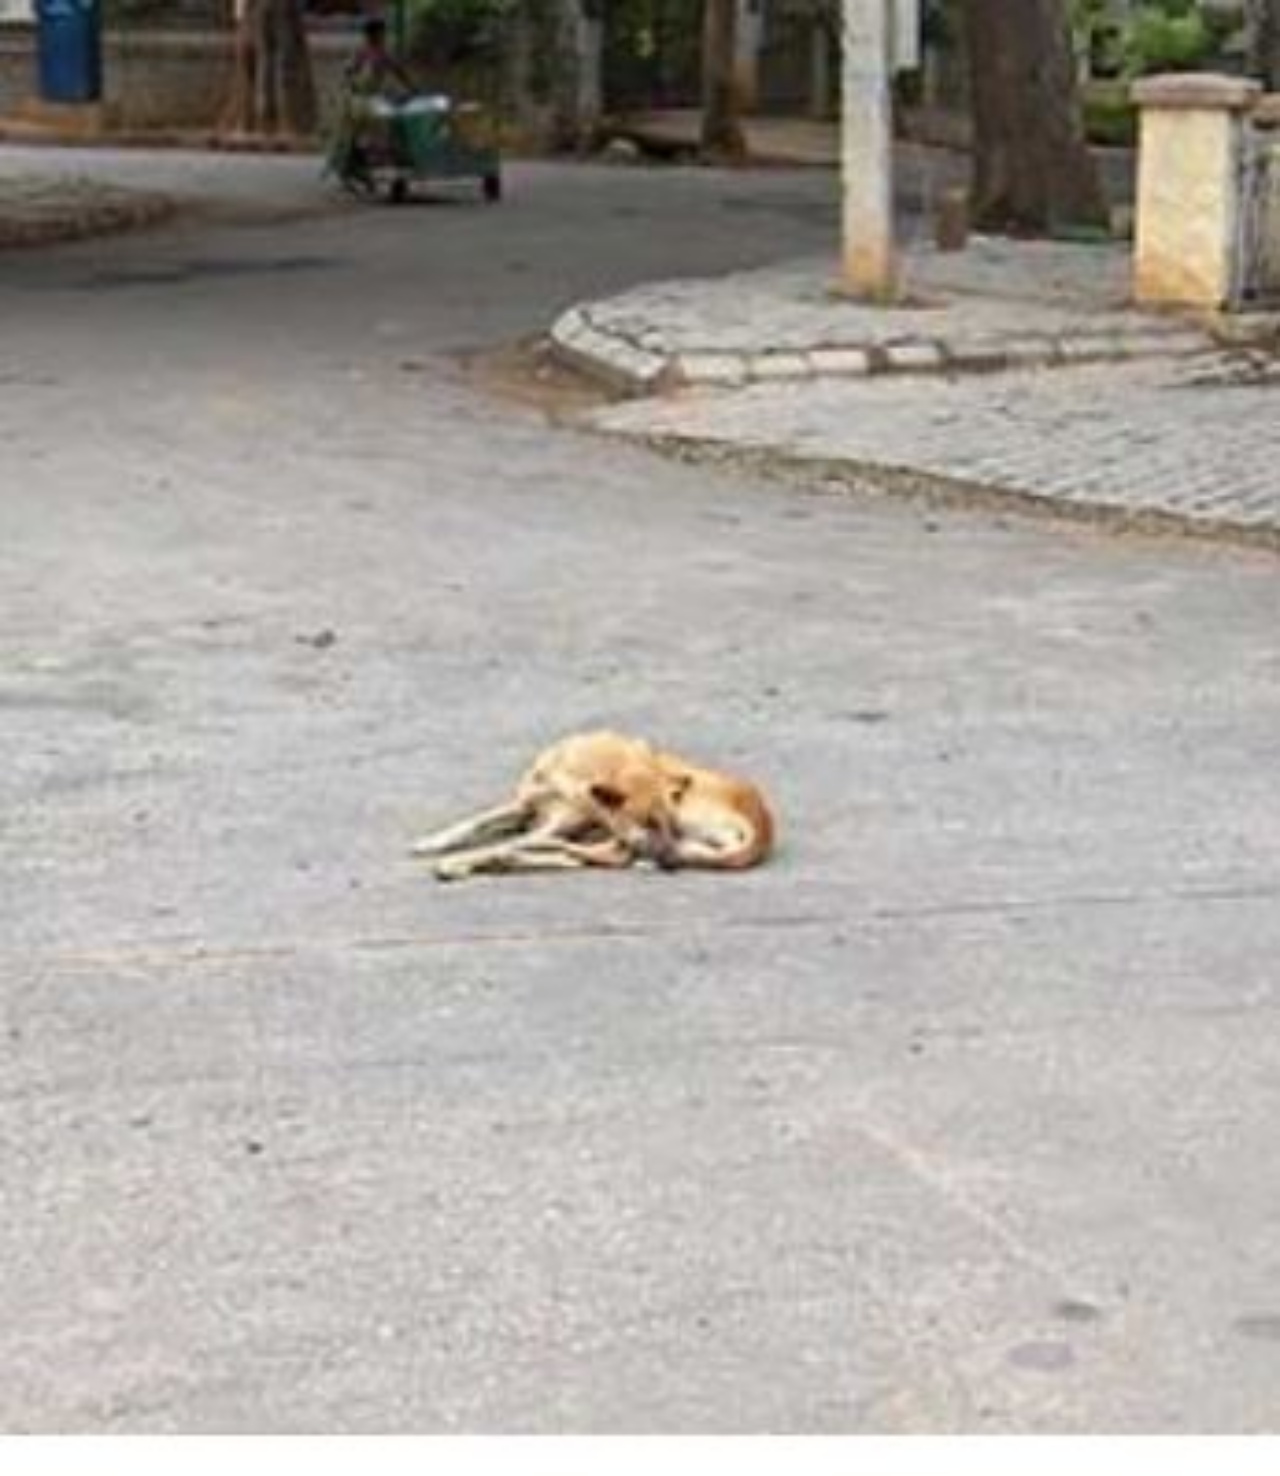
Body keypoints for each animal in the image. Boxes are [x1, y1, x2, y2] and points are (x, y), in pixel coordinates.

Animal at [413, 732, 773, 879]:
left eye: (667, 822)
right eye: (649, 821)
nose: (670, 862)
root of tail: (764, 825)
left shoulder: (558, 824)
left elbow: (510, 841)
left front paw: (461, 860)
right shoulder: (524, 806)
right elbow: (474, 822)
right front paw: (433, 841)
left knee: (598, 856)